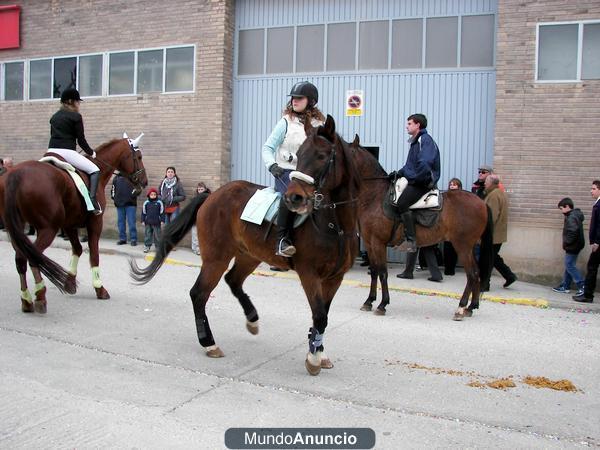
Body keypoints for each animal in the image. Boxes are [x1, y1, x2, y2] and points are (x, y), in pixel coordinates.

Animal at [0, 134, 148, 312]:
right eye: (138, 157)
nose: (145, 181)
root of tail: (16, 175)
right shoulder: (95, 222)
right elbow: (94, 255)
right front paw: (99, 288)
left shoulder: (69, 224)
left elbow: (77, 249)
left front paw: (69, 283)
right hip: (48, 229)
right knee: (32, 257)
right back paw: (40, 296)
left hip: (17, 229)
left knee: (21, 258)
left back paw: (27, 300)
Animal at [130, 114, 356, 374]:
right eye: (299, 154)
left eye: (321, 155)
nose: (294, 198)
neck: (335, 225)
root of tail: (211, 195)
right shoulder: (309, 274)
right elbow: (319, 315)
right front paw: (313, 359)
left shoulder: (334, 278)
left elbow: (323, 316)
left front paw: (319, 351)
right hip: (216, 258)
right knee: (199, 293)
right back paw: (209, 343)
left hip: (249, 255)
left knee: (233, 280)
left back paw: (252, 319)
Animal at [352, 137, 492, 320]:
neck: (374, 197)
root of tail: (482, 202)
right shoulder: (369, 243)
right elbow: (375, 271)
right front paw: (369, 301)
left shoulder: (378, 243)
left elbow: (382, 272)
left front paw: (382, 304)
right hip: (467, 246)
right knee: (475, 273)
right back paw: (471, 306)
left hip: (463, 246)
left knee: (472, 274)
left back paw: (461, 308)